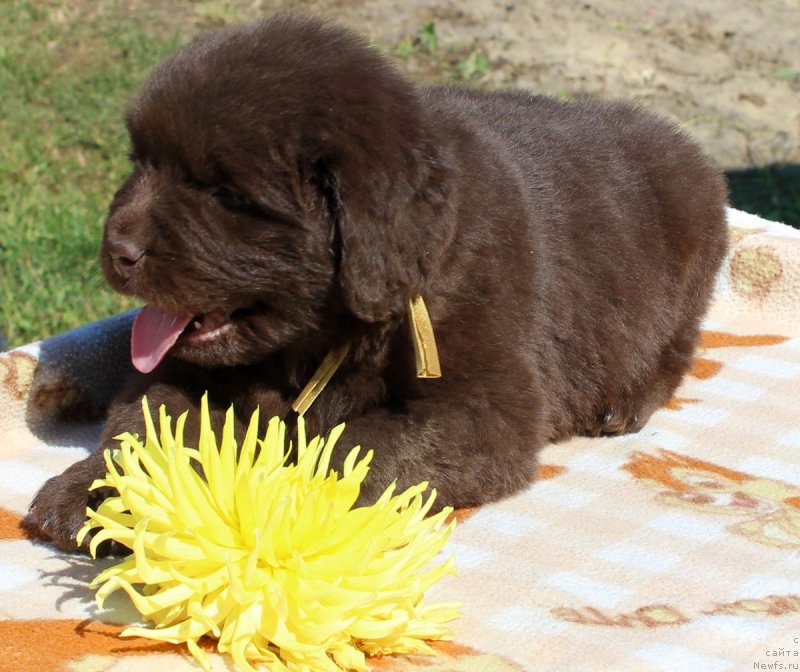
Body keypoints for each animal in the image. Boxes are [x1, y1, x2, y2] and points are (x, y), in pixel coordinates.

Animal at [28, 14, 728, 552]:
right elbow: (145, 424)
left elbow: (357, 446)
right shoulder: (179, 366)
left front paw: (278, 500)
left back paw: (624, 400)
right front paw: (92, 492)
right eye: (140, 163)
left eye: (225, 194)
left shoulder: (485, 403)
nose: (116, 249)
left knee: (674, 348)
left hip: (690, 253)